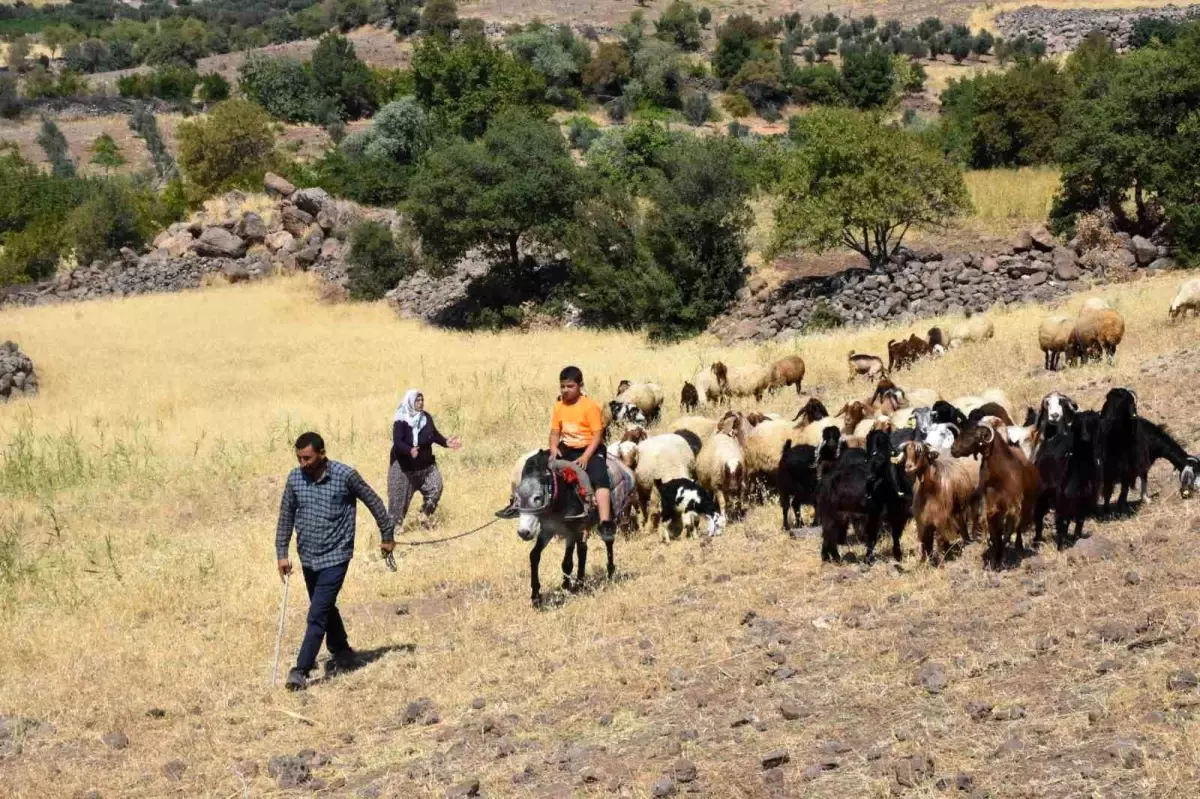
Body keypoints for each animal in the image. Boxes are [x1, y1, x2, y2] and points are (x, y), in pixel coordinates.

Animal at [816, 429, 907, 559]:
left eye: (883, 462)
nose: (869, 478)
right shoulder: (873, 516)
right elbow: (872, 538)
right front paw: (868, 558)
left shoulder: (899, 516)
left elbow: (896, 537)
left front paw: (897, 555)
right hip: (831, 513)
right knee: (830, 533)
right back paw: (832, 556)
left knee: (829, 533)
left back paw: (830, 557)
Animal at [945, 422, 1041, 566]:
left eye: (973, 434)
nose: (953, 449)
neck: (999, 475)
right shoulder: (991, 508)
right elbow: (995, 533)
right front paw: (994, 558)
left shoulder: (1013, 507)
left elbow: (1007, 533)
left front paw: (1000, 558)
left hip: (1027, 505)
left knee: (1019, 528)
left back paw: (1019, 546)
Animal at [1036, 410, 1099, 547]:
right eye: (1078, 424)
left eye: (1092, 423)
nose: (1085, 438)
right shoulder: (1064, 499)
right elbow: (1063, 521)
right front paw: (1061, 545)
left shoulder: (1084, 499)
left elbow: (1079, 520)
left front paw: (1077, 538)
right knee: (1039, 515)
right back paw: (1037, 540)